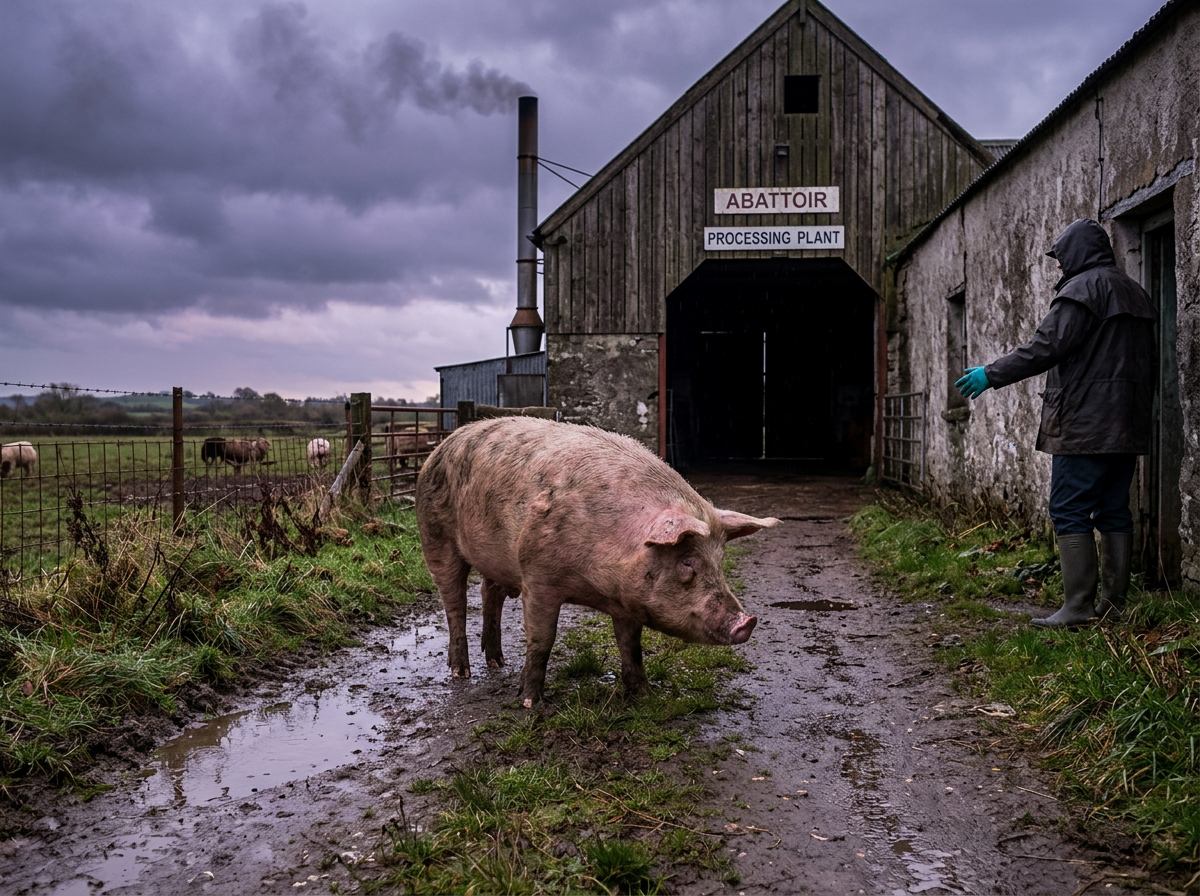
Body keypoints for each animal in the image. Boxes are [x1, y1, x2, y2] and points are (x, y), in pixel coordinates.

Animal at [415, 416, 777, 706]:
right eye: (687, 562)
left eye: (719, 561)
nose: (747, 622)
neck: (596, 585)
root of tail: (441, 445)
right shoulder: (538, 576)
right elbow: (542, 640)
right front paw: (531, 703)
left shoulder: (629, 600)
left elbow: (631, 646)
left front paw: (645, 697)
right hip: (435, 537)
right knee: (455, 603)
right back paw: (461, 673)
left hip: (496, 561)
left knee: (489, 594)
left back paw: (497, 663)